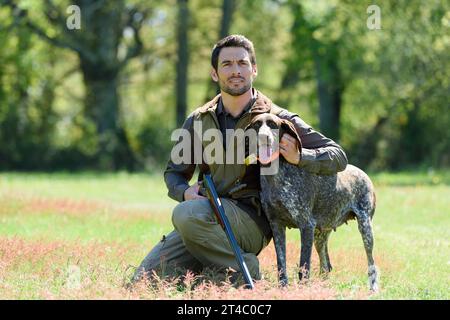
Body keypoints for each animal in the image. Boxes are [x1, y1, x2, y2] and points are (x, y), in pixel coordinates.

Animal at [246, 114, 380, 292]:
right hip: (320, 235)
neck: (276, 174)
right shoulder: (277, 225)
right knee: (326, 265)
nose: (263, 137)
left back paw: (373, 288)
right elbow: (281, 264)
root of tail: (363, 173)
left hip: (365, 228)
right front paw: (283, 288)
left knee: (371, 263)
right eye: (256, 125)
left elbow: (304, 266)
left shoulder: (306, 226)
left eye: (273, 124)